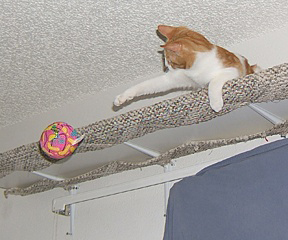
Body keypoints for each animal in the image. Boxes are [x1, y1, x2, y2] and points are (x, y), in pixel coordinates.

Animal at [113, 24, 260, 111]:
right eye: (165, 60)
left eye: (168, 60)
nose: (166, 68)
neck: (195, 71)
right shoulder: (173, 78)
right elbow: (144, 85)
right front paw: (122, 97)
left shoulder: (232, 70)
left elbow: (213, 82)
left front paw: (216, 104)